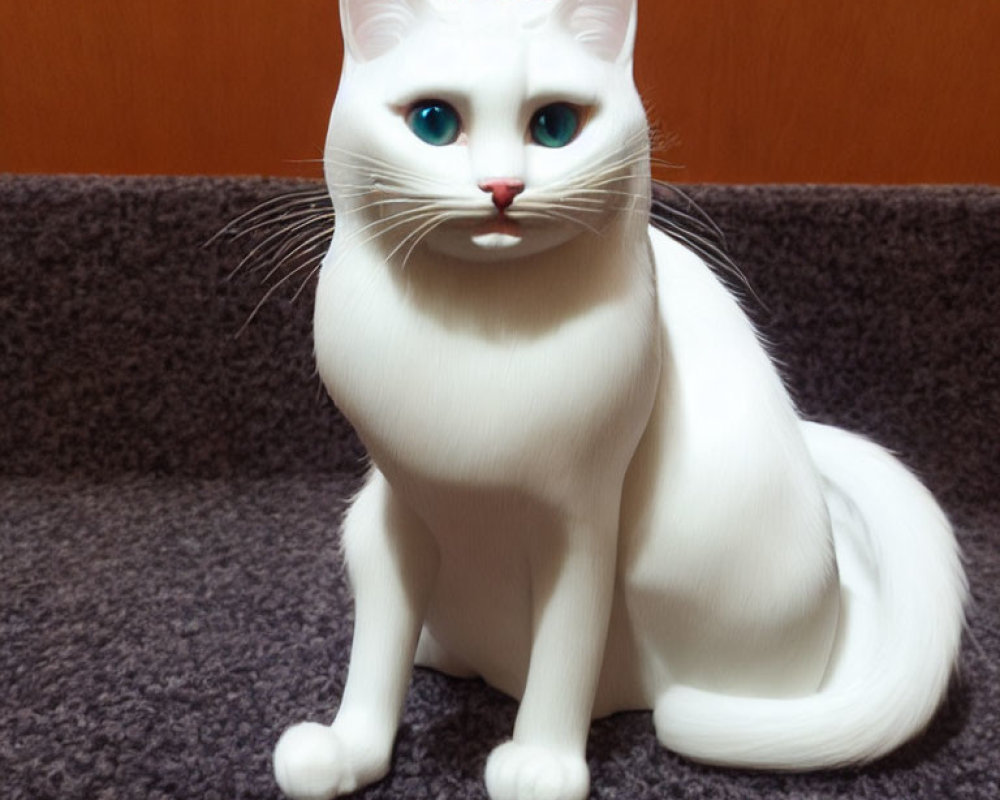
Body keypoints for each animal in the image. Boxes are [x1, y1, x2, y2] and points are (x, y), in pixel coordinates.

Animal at [272, 1, 968, 800]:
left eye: (554, 127)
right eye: (434, 122)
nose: (502, 187)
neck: (482, 335)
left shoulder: (583, 518)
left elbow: (566, 646)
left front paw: (542, 760)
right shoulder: (399, 511)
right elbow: (377, 648)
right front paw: (348, 747)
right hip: (360, 524)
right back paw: (443, 653)